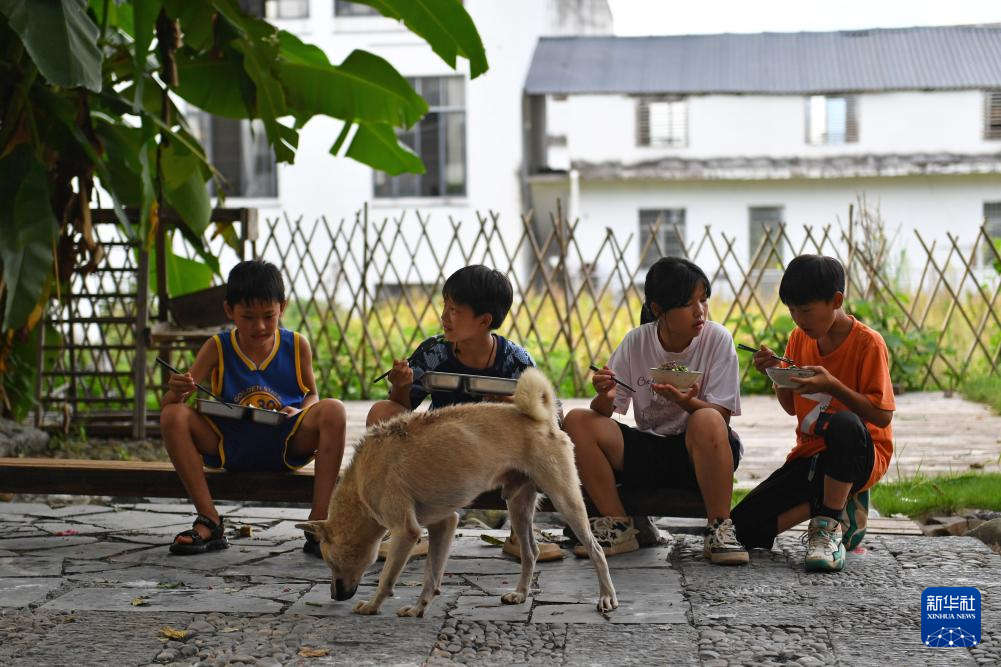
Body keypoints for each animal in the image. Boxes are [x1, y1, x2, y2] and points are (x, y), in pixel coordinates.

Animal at [296, 367, 618, 617]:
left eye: (330, 562)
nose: (334, 595)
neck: (362, 481)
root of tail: (542, 418)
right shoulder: (444, 523)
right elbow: (432, 574)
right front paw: (419, 608)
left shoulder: (406, 531)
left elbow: (386, 578)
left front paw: (373, 606)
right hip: (518, 505)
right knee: (531, 552)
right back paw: (521, 594)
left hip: (565, 500)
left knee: (596, 549)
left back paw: (606, 597)